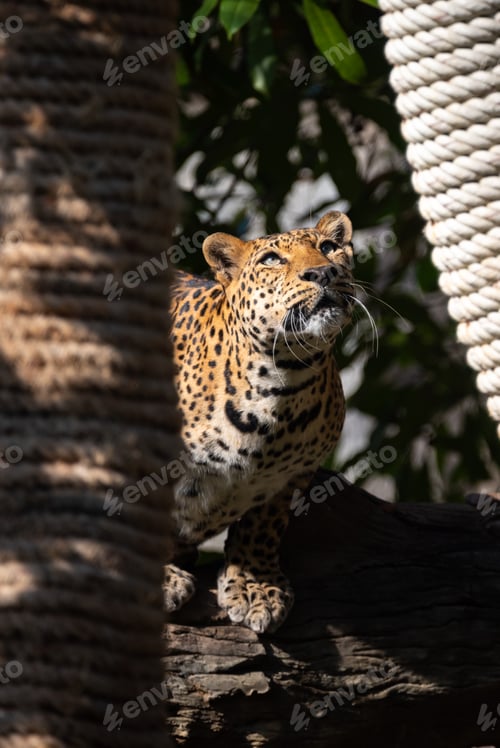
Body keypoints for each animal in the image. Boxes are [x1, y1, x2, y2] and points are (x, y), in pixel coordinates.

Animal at [165, 210, 355, 633]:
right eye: (271, 260)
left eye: (328, 247)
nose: (322, 273)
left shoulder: (284, 477)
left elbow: (261, 527)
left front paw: (255, 587)